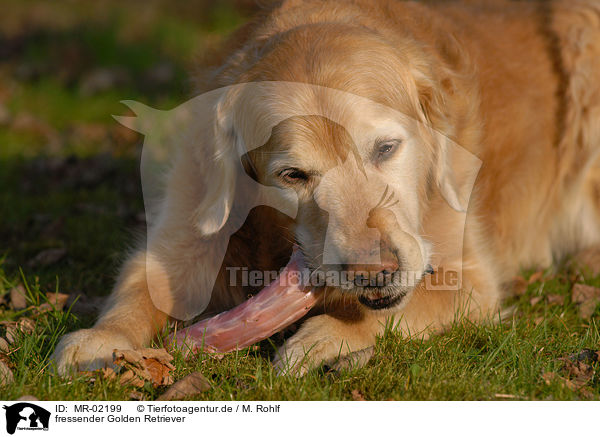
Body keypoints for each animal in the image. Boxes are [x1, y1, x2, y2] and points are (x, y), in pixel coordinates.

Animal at [52, 0, 600, 374]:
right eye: (293, 175)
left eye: (385, 148)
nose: (373, 274)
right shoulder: (186, 228)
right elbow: (143, 284)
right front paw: (101, 338)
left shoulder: (470, 278)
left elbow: (408, 305)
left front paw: (324, 337)